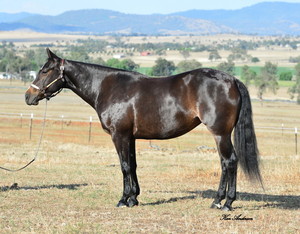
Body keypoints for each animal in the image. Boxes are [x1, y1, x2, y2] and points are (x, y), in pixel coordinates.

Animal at [24, 48, 262, 211]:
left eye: (45, 71)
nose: (28, 96)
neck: (107, 87)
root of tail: (232, 80)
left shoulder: (119, 135)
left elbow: (124, 167)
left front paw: (123, 200)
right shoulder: (131, 137)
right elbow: (133, 165)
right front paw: (134, 198)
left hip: (220, 134)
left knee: (230, 162)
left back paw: (227, 203)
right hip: (221, 135)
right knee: (224, 164)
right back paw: (217, 201)